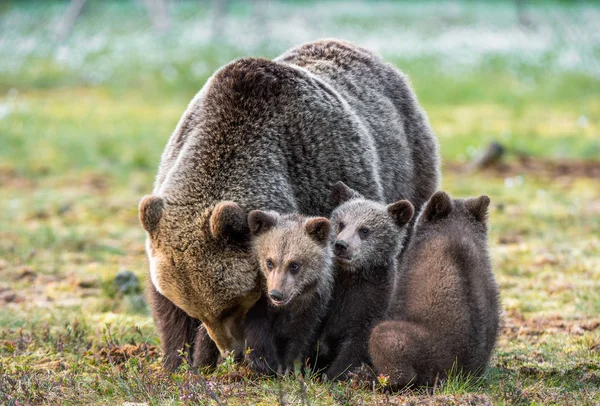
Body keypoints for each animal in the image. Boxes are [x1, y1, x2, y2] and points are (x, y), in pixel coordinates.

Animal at [138, 38, 438, 372]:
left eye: (231, 306)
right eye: (198, 310)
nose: (231, 350)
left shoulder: (321, 173)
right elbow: (168, 310)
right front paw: (179, 361)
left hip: (411, 168)